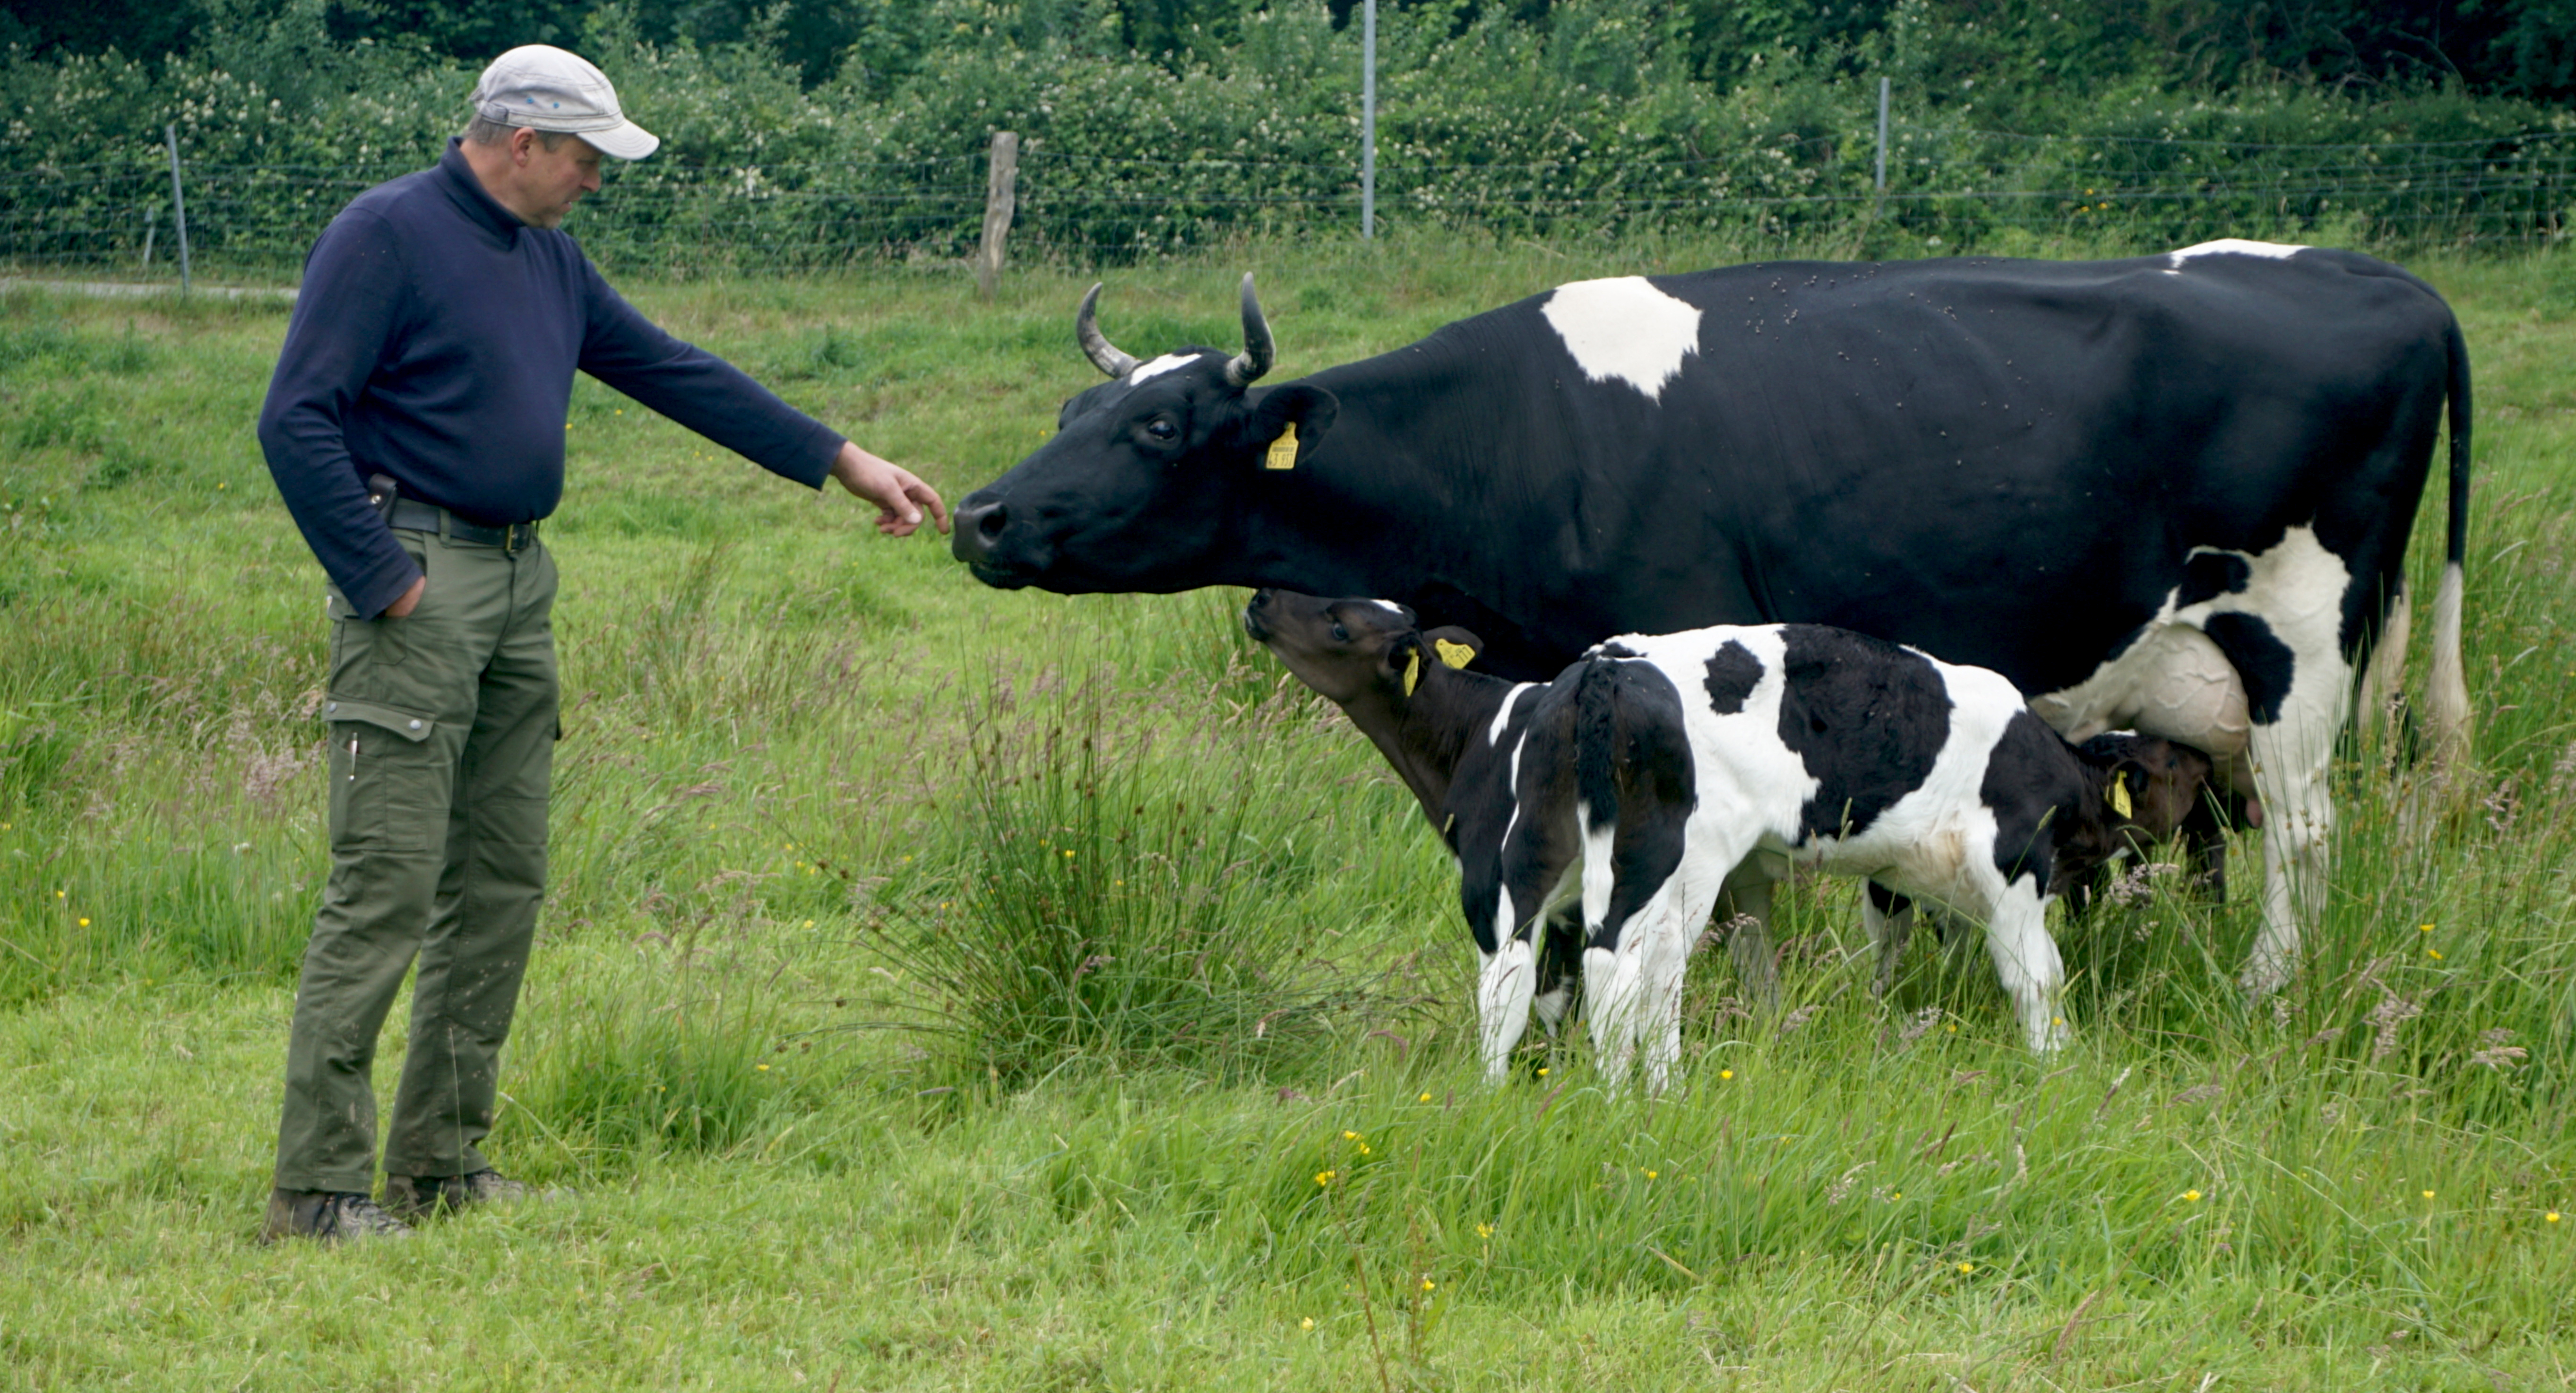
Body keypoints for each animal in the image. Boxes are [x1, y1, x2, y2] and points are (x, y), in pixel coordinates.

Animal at [954, 248, 2474, 999]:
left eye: (1155, 427)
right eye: (1071, 409)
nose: (977, 514)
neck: (1517, 441)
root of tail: (2383, 279)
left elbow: (1720, 891)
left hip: (2301, 640)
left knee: (2305, 832)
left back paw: (2266, 992)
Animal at [1242, 589, 2148, 1087]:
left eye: (1339, 620)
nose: (1258, 600)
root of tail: (1604, 666)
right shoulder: (2014, 871)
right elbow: (2037, 980)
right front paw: (2060, 1068)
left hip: (1537, 869)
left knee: (1514, 978)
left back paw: (1503, 1096)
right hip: (1665, 859)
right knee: (1630, 975)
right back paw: (1649, 1094)